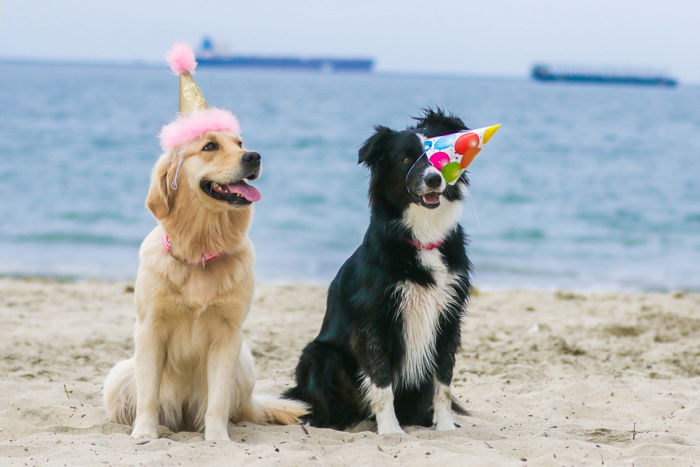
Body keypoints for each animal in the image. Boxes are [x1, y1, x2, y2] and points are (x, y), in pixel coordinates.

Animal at [284, 109, 470, 436]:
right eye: (406, 159)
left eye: (442, 156)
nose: (434, 179)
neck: (423, 236)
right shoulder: (375, 318)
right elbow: (382, 381)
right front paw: (391, 431)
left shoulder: (449, 315)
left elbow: (444, 382)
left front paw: (446, 426)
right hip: (319, 354)